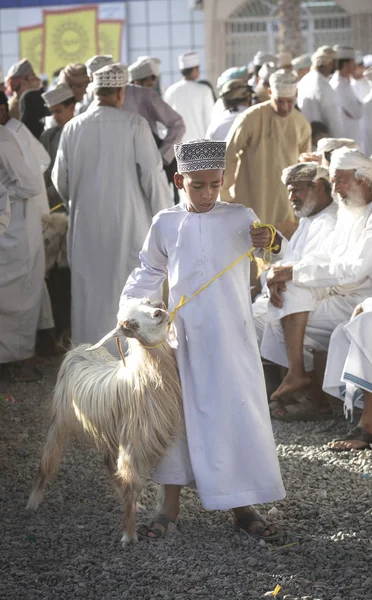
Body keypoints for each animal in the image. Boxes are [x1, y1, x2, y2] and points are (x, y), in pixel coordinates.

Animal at [26, 298, 183, 548]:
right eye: (129, 325)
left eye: (148, 303)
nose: (159, 312)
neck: (144, 376)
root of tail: (78, 347)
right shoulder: (131, 443)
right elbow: (131, 484)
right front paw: (129, 535)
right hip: (60, 421)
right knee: (49, 459)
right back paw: (33, 502)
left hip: (109, 430)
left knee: (108, 463)